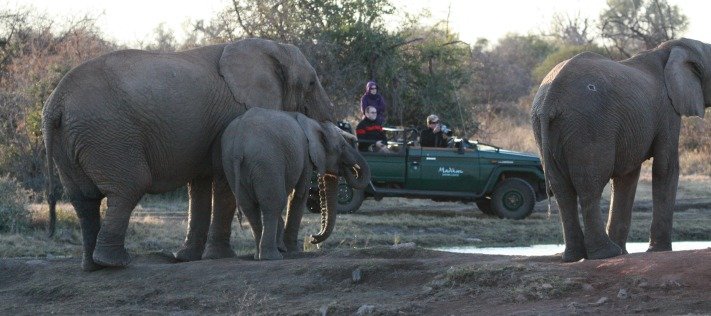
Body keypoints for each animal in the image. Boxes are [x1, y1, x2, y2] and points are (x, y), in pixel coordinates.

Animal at [43, 37, 338, 270]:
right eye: (311, 83)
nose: (312, 241)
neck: (269, 48)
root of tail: (55, 103)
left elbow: (199, 183)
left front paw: (188, 257)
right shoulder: (231, 115)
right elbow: (222, 179)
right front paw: (219, 256)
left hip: (71, 141)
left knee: (83, 199)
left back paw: (93, 266)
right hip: (108, 134)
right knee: (129, 187)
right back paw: (115, 263)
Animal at [220, 107, 370, 260]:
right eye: (342, 146)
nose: (313, 237)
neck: (316, 124)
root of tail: (239, 143)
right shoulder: (305, 155)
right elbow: (300, 194)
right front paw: (293, 250)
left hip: (230, 163)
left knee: (249, 207)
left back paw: (259, 255)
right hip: (266, 163)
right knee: (273, 204)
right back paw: (272, 256)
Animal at [536, 38, 711, 262]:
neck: (674, 47)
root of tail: (549, 101)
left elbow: (627, 176)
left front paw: (627, 252)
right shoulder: (667, 110)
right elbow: (665, 167)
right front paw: (658, 251)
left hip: (549, 130)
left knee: (562, 190)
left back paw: (575, 256)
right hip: (590, 126)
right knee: (590, 186)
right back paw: (605, 253)